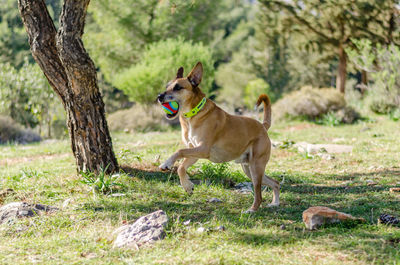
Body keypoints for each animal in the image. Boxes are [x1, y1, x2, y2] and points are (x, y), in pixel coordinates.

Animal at [156, 60, 278, 211]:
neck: (193, 115)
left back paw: (252, 209)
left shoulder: (203, 149)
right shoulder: (194, 152)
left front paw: (167, 163)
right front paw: (187, 186)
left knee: (259, 194)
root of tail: (263, 126)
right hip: (248, 168)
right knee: (275, 182)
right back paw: (275, 202)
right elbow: (181, 167)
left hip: (256, 167)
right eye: (167, 86)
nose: (159, 97)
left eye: (178, 87)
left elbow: (179, 151)